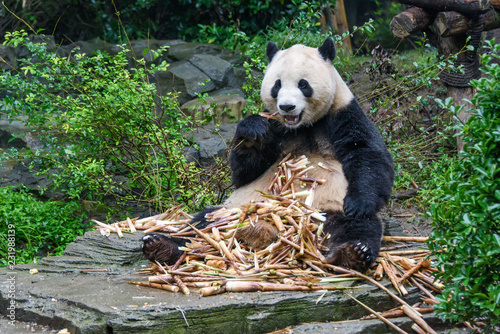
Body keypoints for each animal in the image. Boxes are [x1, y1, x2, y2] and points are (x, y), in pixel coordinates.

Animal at [142, 37, 394, 270]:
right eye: (277, 85)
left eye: (303, 84)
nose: (287, 107)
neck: (302, 126)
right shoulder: (275, 127)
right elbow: (244, 173)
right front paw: (252, 130)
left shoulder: (343, 113)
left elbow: (368, 154)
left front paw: (358, 204)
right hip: (235, 208)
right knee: (201, 224)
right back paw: (162, 245)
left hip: (326, 210)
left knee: (356, 227)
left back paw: (352, 253)